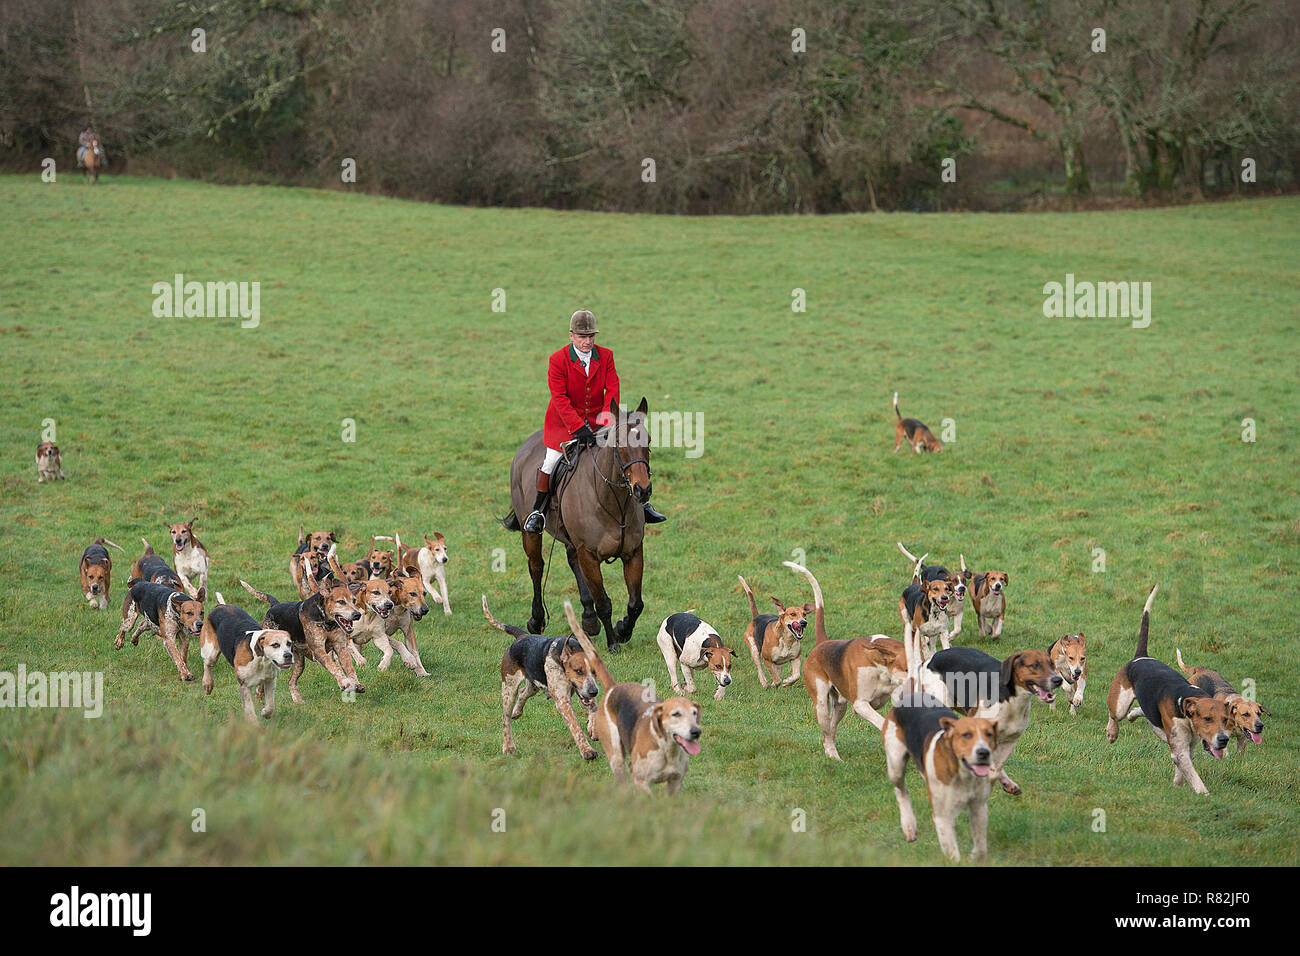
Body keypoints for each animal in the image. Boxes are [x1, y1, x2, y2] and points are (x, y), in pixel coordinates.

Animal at [504, 395, 655, 650]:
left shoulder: (633, 552)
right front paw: (613, 642)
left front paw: (622, 630)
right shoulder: (589, 555)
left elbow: (636, 603)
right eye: (619, 443)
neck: (613, 502)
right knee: (536, 567)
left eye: (649, 440)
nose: (642, 490)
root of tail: (528, 444)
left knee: (571, 559)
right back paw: (537, 620)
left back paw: (588, 618)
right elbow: (603, 601)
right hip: (531, 532)